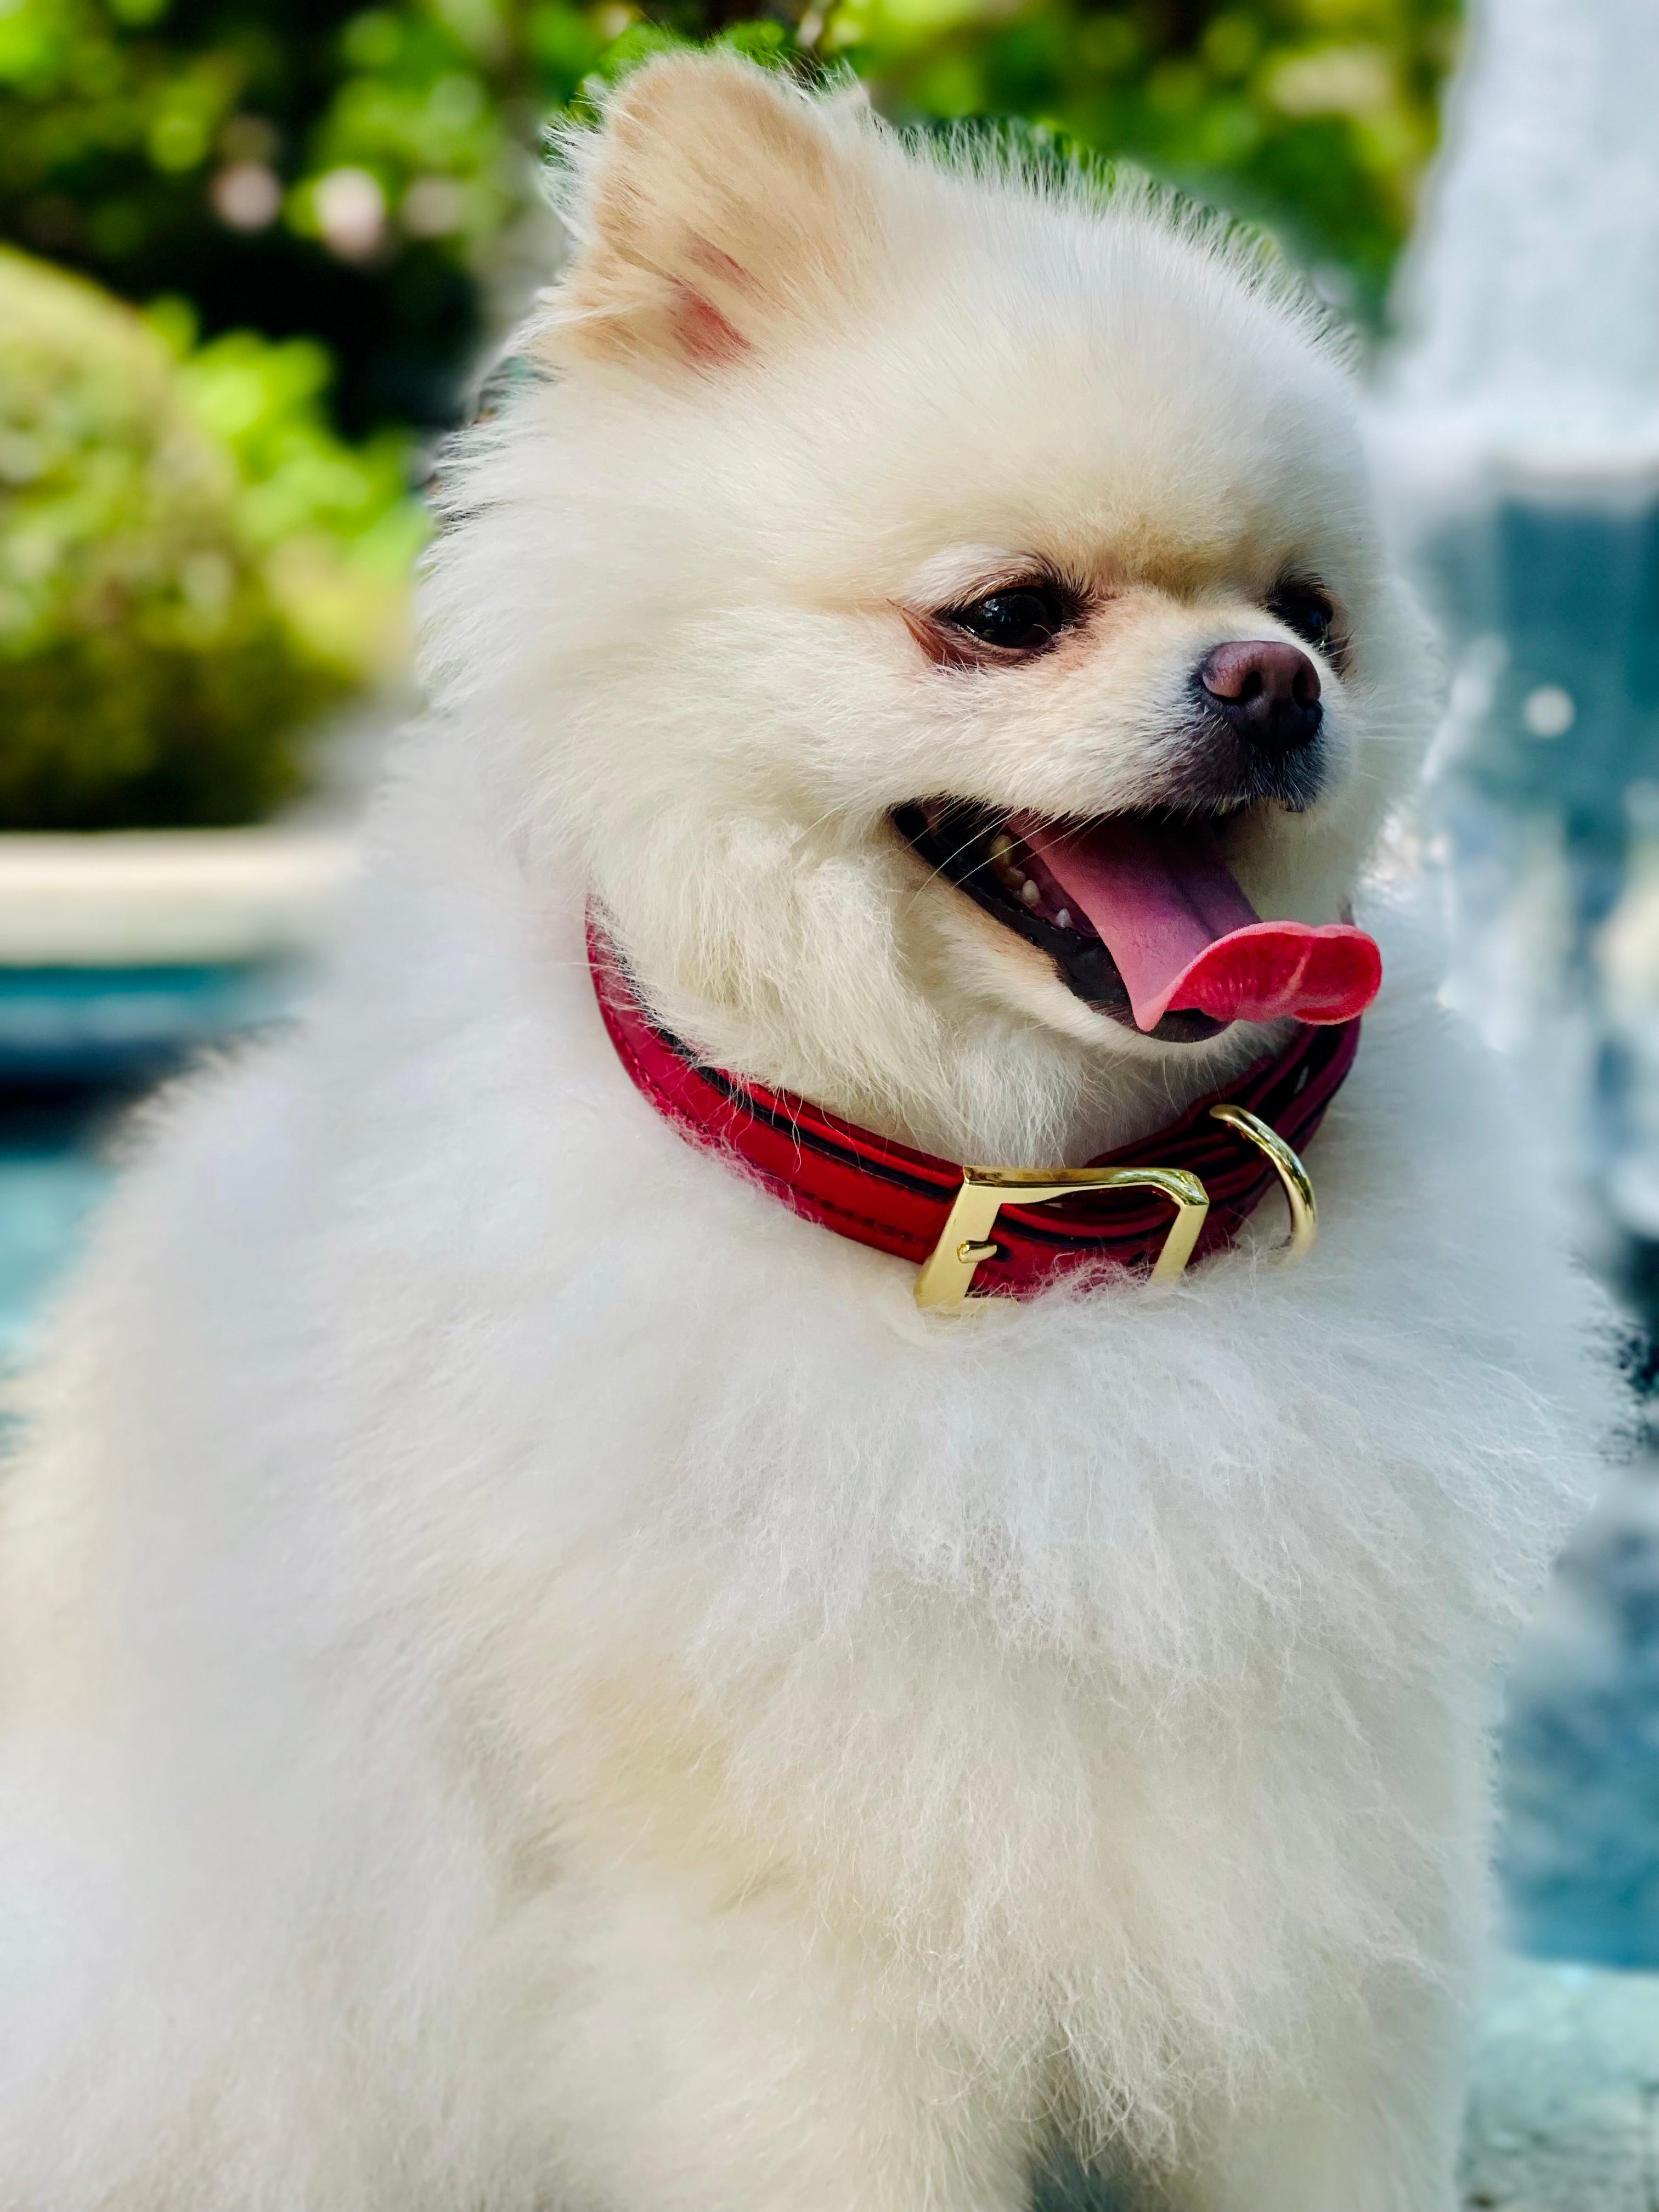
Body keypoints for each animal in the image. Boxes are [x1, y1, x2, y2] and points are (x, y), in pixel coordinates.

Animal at [0, 52, 1619, 2212]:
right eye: (1005, 615)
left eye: (1316, 615)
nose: (1273, 684)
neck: (1035, 1229)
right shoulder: (780, 1955)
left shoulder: (1322, 1893)